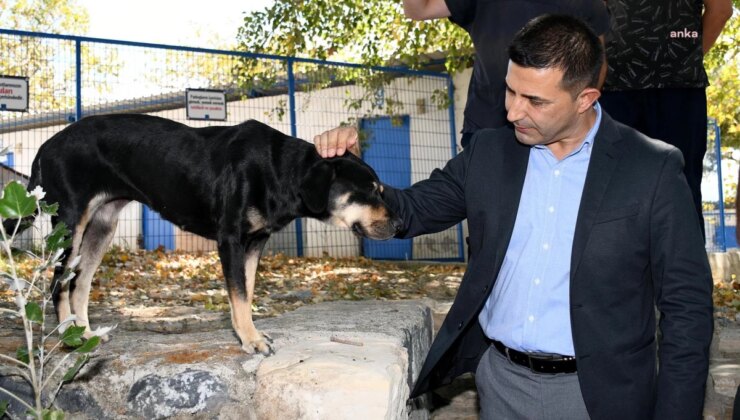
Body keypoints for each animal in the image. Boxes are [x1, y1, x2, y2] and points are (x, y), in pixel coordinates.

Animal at [20, 114, 402, 354]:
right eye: (371, 190)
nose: (399, 225)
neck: (278, 171)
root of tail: (45, 146)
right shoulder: (230, 239)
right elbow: (240, 295)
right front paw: (252, 341)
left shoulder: (254, 243)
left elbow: (244, 292)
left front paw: (244, 333)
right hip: (70, 224)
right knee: (58, 283)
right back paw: (68, 337)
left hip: (101, 227)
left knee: (80, 283)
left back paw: (84, 333)